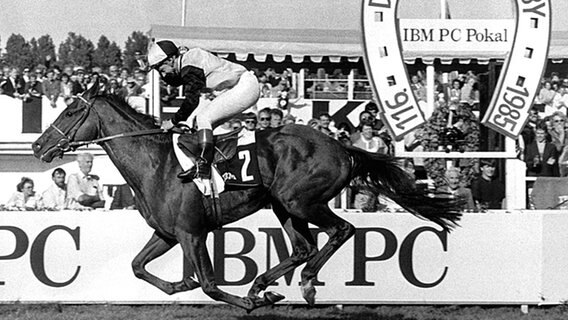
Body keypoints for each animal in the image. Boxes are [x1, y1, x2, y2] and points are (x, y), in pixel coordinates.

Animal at [31, 81, 462, 312]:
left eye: (69, 112)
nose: (37, 146)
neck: (157, 164)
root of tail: (342, 146)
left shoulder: (191, 233)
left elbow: (209, 284)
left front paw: (246, 302)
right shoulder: (168, 234)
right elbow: (138, 267)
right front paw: (181, 285)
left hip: (301, 201)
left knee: (341, 231)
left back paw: (301, 284)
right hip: (283, 206)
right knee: (304, 247)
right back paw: (264, 284)